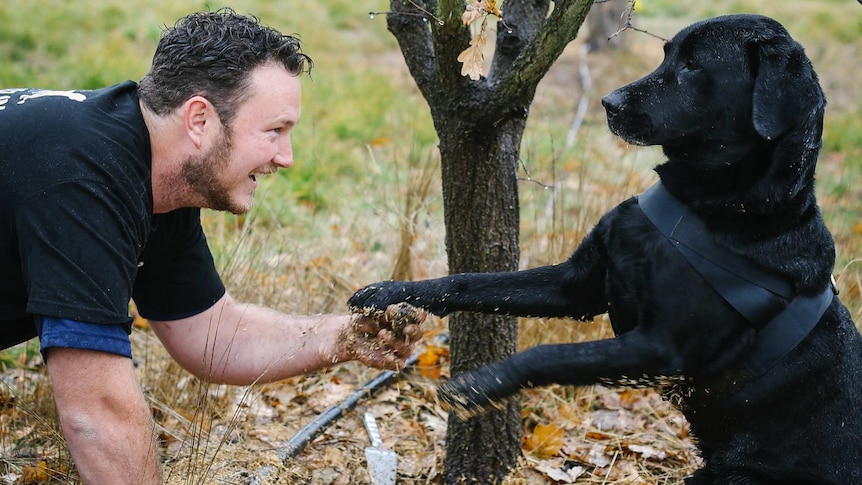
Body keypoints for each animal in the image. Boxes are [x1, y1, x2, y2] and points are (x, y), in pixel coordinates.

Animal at [352, 13, 862, 482]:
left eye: (694, 66)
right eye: (666, 54)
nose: (608, 103)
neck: (709, 204)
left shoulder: (660, 347)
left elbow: (550, 356)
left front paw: (483, 383)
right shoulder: (577, 284)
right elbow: (469, 281)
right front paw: (390, 292)